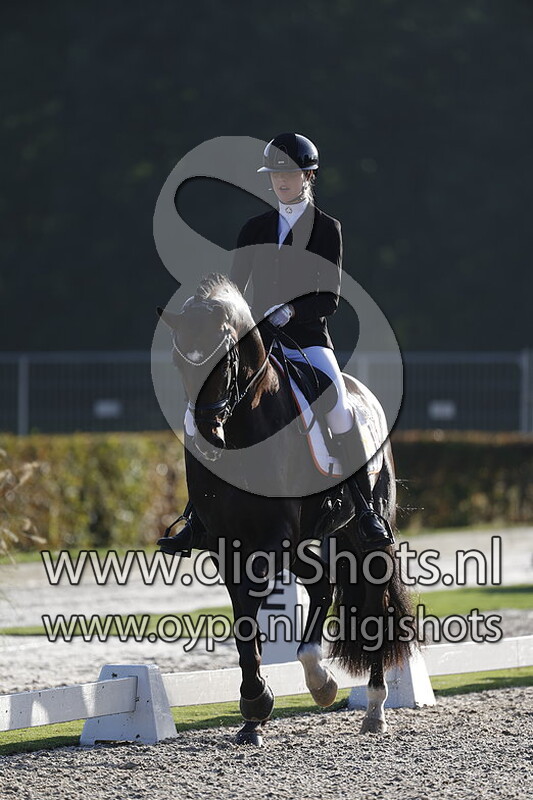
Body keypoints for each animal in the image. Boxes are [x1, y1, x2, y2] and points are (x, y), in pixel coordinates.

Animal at [157, 273, 412, 745]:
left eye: (224, 361)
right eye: (180, 363)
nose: (208, 436)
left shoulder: (273, 540)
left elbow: (254, 613)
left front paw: (263, 701)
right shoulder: (228, 545)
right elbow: (244, 623)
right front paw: (254, 712)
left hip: (364, 533)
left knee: (369, 604)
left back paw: (372, 706)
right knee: (323, 583)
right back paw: (322, 684)